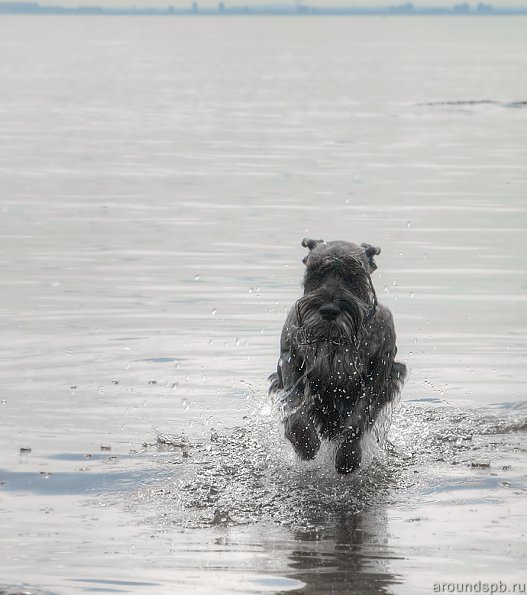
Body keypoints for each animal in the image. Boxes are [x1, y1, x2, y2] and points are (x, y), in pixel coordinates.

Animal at [270, 237, 406, 474]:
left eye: (354, 275)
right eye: (316, 271)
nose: (329, 310)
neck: (333, 338)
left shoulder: (379, 371)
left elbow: (360, 415)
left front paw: (348, 457)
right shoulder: (290, 358)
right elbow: (295, 408)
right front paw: (305, 444)